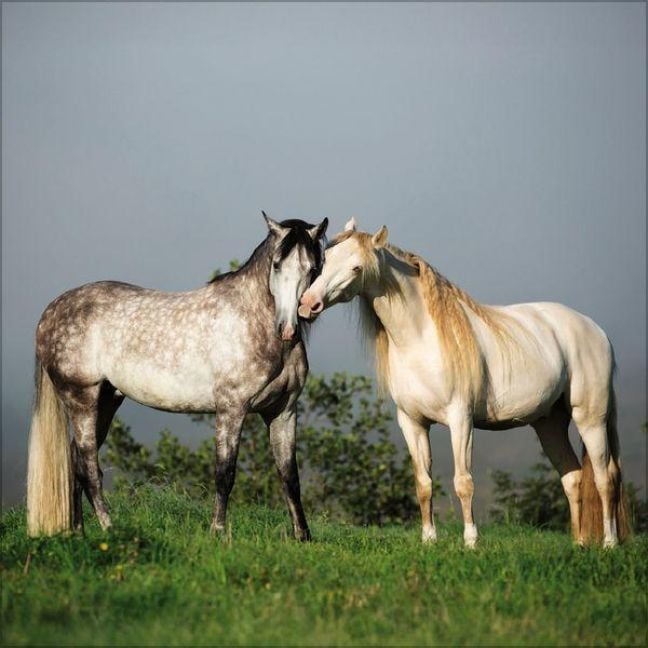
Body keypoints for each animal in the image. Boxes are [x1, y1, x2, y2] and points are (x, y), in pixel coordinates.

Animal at [27, 213, 328, 540]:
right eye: (276, 265)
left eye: (313, 268)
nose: (288, 328)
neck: (254, 323)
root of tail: (49, 313)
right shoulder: (232, 409)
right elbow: (225, 473)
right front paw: (217, 532)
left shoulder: (283, 411)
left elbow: (290, 476)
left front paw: (303, 537)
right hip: (81, 398)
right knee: (88, 467)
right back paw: (110, 528)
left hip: (106, 400)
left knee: (76, 464)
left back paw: (78, 533)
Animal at [298, 218, 630, 548]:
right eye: (326, 259)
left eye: (356, 267)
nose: (307, 304)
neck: (421, 340)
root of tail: (595, 330)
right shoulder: (412, 422)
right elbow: (423, 483)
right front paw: (429, 540)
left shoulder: (460, 420)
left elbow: (463, 481)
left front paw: (471, 541)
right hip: (549, 423)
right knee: (573, 477)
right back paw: (579, 544)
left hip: (591, 419)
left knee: (604, 478)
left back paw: (609, 543)